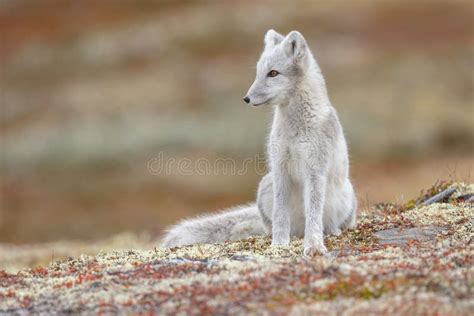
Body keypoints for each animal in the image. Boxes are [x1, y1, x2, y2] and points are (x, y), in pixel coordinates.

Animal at [162, 30, 356, 256]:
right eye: (258, 72)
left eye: (273, 73)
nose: (246, 98)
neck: (294, 129)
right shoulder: (280, 167)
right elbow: (280, 215)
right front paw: (279, 245)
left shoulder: (315, 170)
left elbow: (314, 216)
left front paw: (314, 246)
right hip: (265, 185)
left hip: (343, 195)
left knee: (330, 223)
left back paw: (332, 231)